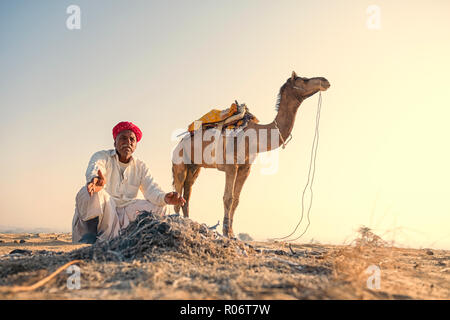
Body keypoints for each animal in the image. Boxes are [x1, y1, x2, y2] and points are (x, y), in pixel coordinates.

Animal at [171, 72, 328, 238]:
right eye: (304, 79)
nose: (325, 81)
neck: (254, 137)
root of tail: (179, 143)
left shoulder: (245, 168)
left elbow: (236, 200)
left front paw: (232, 233)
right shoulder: (231, 166)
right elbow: (228, 197)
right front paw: (226, 232)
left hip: (195, 167)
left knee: (187, 193)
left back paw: (187, 222)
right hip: (179, 162)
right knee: (179, 191)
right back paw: (177, 221)